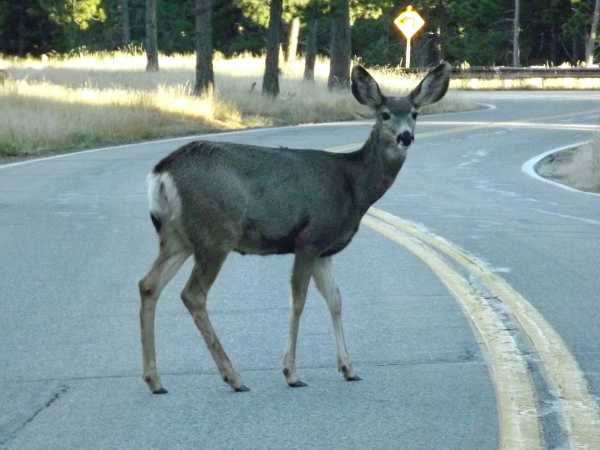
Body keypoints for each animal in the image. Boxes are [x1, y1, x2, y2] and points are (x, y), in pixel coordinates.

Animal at [139, 61, 450, 392]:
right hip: (216, 232)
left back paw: (155, 380)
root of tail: (161, 172)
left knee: (149, 284)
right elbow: (298, 301)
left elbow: (335, 300)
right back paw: (233, 377)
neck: (354, 186)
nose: (406, 137)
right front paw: (291, 373)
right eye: (385, 114)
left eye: (414, 113)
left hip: (178, 236)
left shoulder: (326, 250)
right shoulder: (309, 239)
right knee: (193, 294)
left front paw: (348, 368)